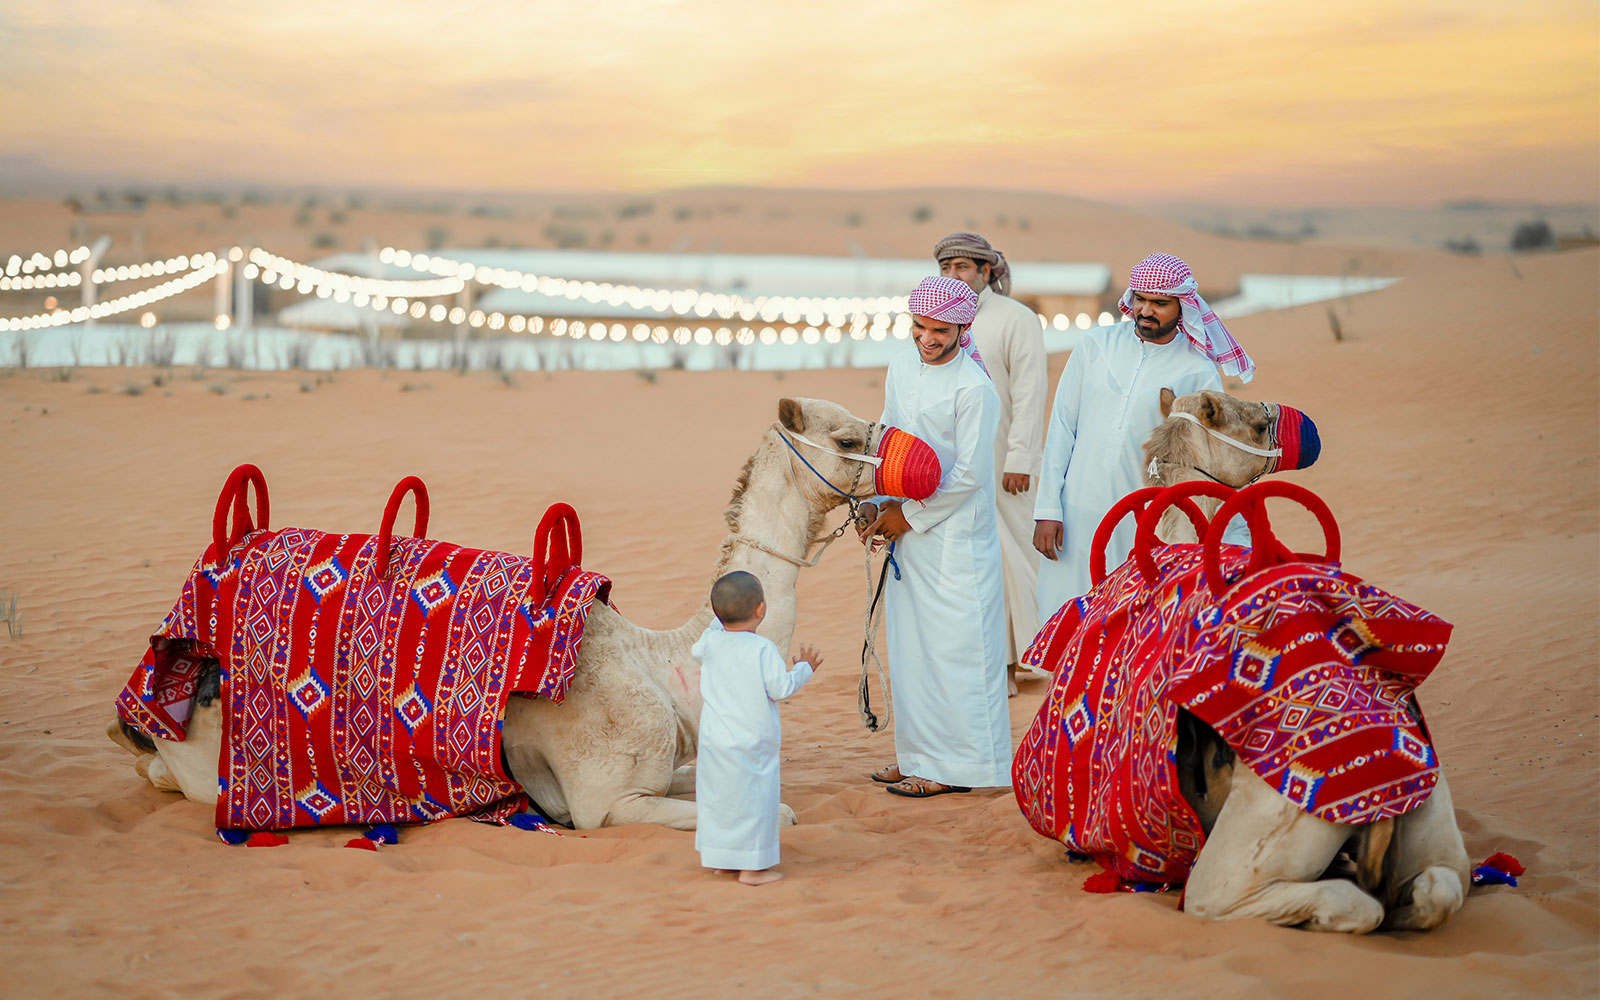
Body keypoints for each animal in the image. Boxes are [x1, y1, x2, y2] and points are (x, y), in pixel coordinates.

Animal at [109, 393, 889, 832]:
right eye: (848, 439)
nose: (904, 463)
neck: (664, 665)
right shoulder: (608, 804)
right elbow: (778, 808)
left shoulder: (662, 770)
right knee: (161, 775)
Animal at [1126, 388, 1465, 928]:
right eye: (1259, 426)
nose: (1305, 428)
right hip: (1431, 821)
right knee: (1436, 888)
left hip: (1239, 863)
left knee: (1345, 903)